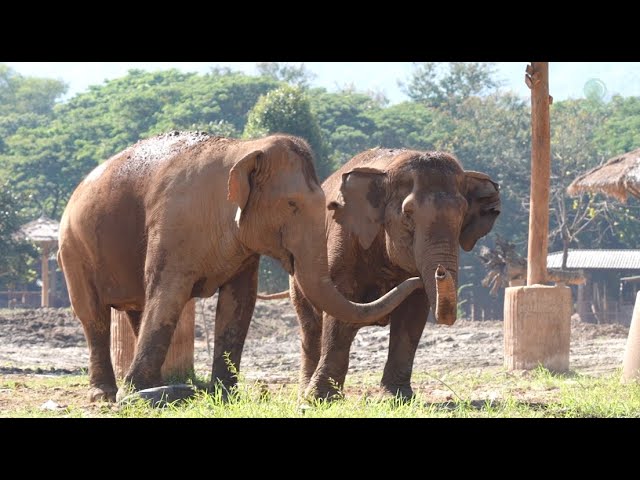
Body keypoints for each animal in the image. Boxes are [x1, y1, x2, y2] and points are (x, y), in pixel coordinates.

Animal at [57, 130, 422, 402]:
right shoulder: (174, 223)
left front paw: (224, 395)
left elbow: (240, 302)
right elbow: (168, 294)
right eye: (291, 205)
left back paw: (152, 385)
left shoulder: (242, 247)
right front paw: (135, 395)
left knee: (137, 310)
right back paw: (107, 394)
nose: (420, 278)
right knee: (94, 317)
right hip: (73, 249)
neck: (244, 149)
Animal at [288, 147, 500, 402]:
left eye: (463, 214)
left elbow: (413, 314)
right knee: (310, 326)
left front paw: (396, 397)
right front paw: (319, 399)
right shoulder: (343, 238)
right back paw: (303, 393)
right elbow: (340, 306)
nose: (440, 272)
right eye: (408, 214)